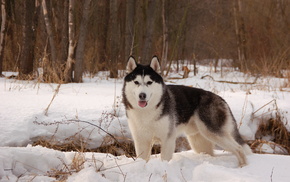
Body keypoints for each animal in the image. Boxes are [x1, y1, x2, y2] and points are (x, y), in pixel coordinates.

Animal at [122, 56, 251, 167]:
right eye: (136, 82)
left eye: (149, 82)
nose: (142, 95)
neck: (146, 112)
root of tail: (221, 99)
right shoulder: (141, 140)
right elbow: (142, 159)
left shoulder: (168, 139)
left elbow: (164, 159)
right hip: (199, 142)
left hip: (213, 133)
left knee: (239, 148)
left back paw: (243, 166)